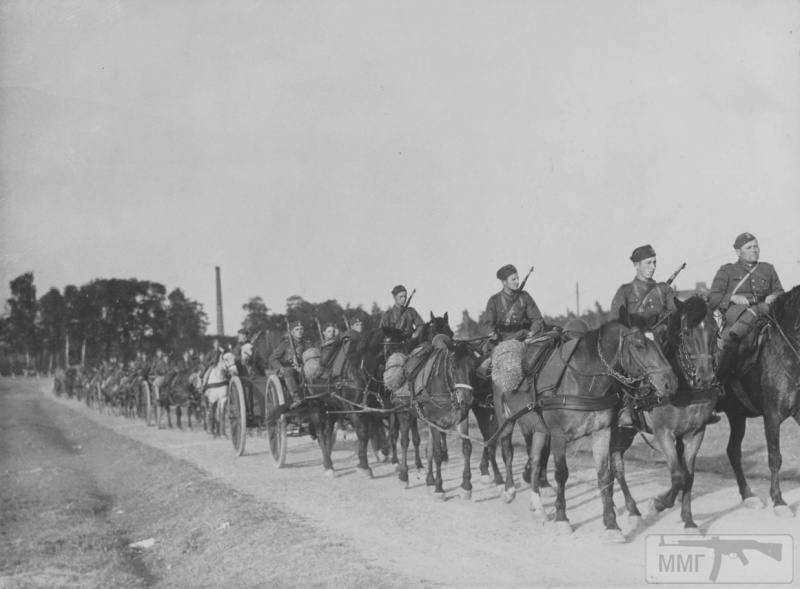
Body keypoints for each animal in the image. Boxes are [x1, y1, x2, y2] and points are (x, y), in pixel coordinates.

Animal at [494, 308, 676, 544]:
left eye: (661, 341)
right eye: (639, 344)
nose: (671, 382)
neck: (582, 380)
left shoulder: (602, 432)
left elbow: (605, 475)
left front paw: (611, 524)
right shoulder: (559, 436)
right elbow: (561, 474)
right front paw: (562, 518)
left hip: (540, 428)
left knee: (534, 461)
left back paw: (538, 507)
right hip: (506, 419)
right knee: (507, 450)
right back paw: (508, 490)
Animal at [608, 294, 720, 528]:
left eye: (715, 330)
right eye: (686, 332)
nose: (705, 378)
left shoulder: (695, 433)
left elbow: (689, 476)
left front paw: (688, 520)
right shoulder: (664, 433)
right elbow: (678, 476)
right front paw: (658, 504)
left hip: (625, 431)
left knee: (616, 462)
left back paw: (630, 508)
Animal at [716, 282, 800, 512]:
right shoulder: (771, 416)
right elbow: (775, 457)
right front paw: (778, 500)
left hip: (736, 416)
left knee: (733, 451)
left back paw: (748, 496)